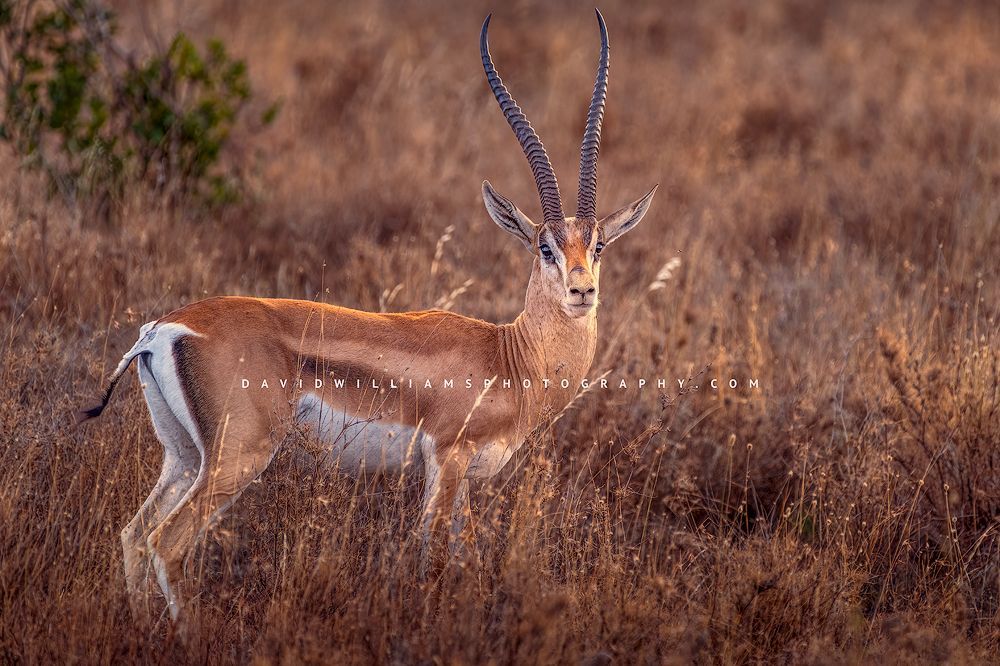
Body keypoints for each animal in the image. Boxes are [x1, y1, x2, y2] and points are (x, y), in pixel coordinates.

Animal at [80, 10, 656, 624]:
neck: (511, 356)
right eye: (545, 247)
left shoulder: (465, 480)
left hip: (184, 456)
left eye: (598, 245)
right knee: (166, 542)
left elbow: (467, 557)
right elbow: (433, 556)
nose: (582, 290)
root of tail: (162, 329)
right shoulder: (446, 460)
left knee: (133, 535)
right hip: (237, 457)